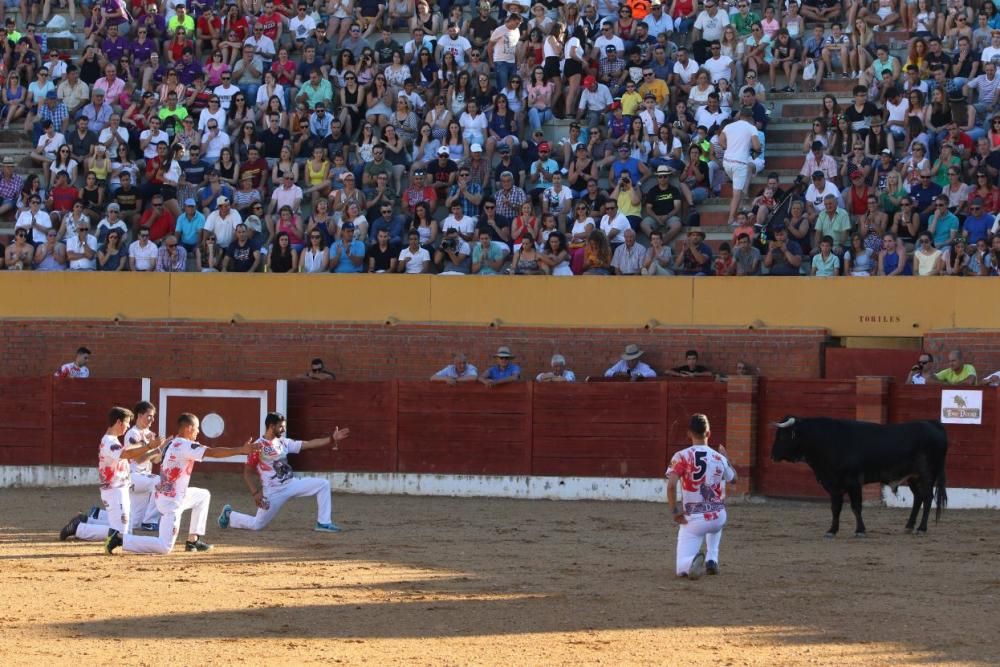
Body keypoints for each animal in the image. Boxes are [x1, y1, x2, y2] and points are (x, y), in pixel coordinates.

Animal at [768, 418, 948, 536]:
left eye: (783, 436)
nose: (773, 455)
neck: (827, 440)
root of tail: (933, 424)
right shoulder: (833, 484)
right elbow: (835, 507)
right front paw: (832, 530)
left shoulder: (853, 483)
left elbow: (856, 507)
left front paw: (860, 530)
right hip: (913, 477)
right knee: (918, 497)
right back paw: (909, 526)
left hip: (927, 474)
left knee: (927, 497)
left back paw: (921, 528)